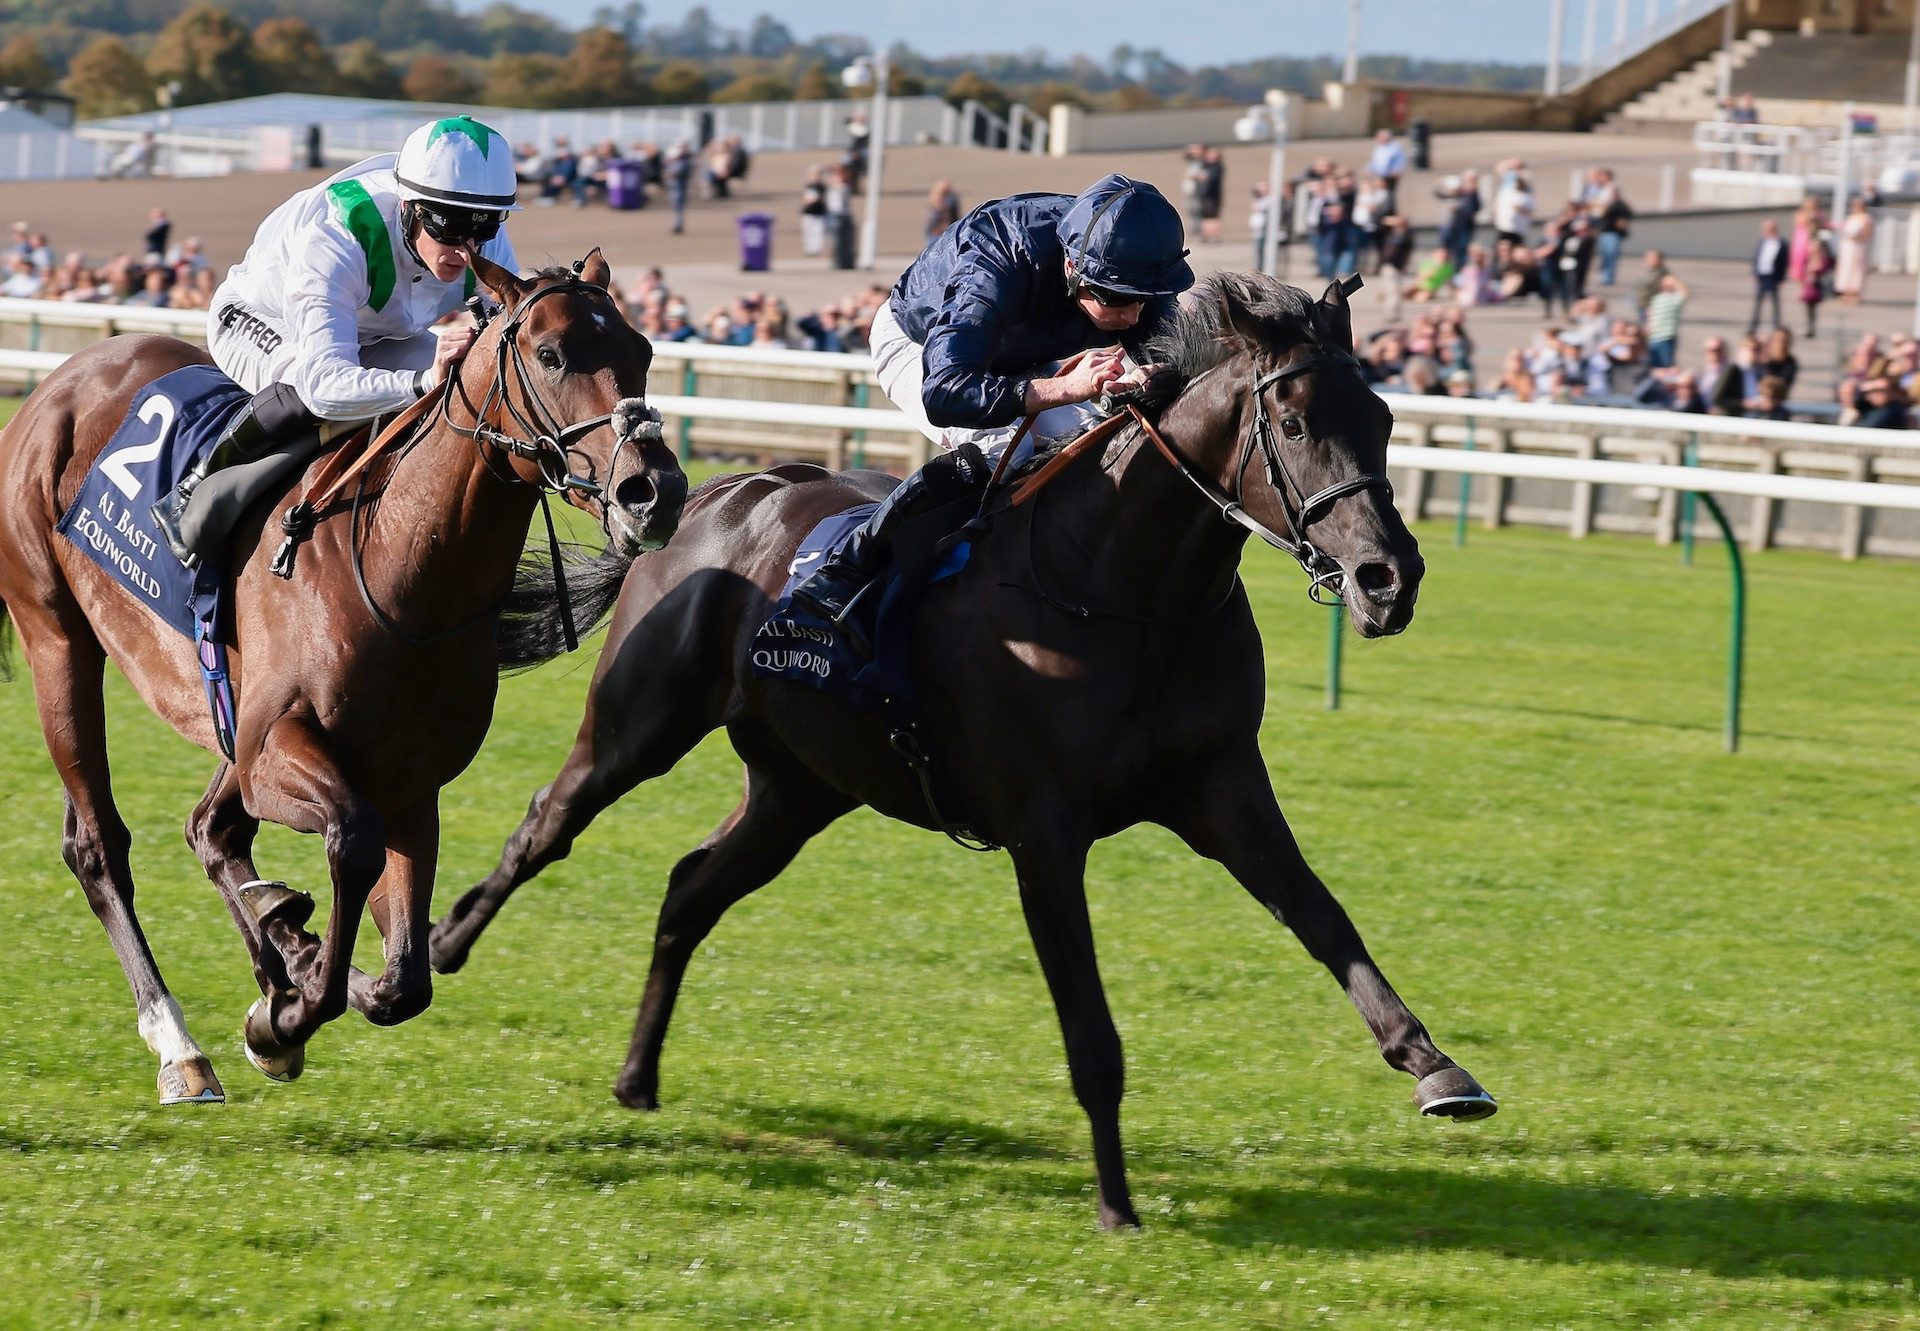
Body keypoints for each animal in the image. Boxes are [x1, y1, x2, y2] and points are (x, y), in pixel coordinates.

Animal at [0, 253, 687, 1106]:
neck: (403, 568)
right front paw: (290, 1003)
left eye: (645, 350)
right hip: (56, 635)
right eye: (553, 354)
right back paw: (180, 1045)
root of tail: (65, 378)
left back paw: (274, 945)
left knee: (211, 829)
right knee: (99, 846)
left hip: (226, 723)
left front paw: (288, 985)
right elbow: (351, 847)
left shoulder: (405, 782)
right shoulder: (280, 749)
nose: (655, 492)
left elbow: (405, 982)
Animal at [435, 274, 1497, 1229]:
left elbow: (1323, 917)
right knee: (546, 823)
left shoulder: (1224, 784)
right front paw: (1116, 1203)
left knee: (692, 887)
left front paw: (1438, 1068)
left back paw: (637, 1076)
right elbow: (1090, 1028)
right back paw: (439, 947)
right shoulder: (1045, 832)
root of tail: (709, 497)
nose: (1388, 577)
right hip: (640, 723)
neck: (1124, 590)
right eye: (1297, 423)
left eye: (1383, 417)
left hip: (802, 784)